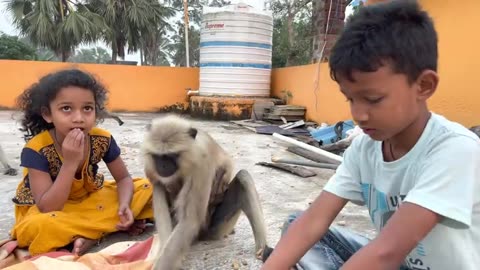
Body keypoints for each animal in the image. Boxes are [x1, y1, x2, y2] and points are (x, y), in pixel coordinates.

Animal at [142, 114, 270, 270]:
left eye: (171, 156)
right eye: (158, 156)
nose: (163, 166)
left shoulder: (201, 163)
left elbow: (190, 220)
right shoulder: (151, 167)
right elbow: (159, 186)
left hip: (216, 228)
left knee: (243, 177)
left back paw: (262, 250)